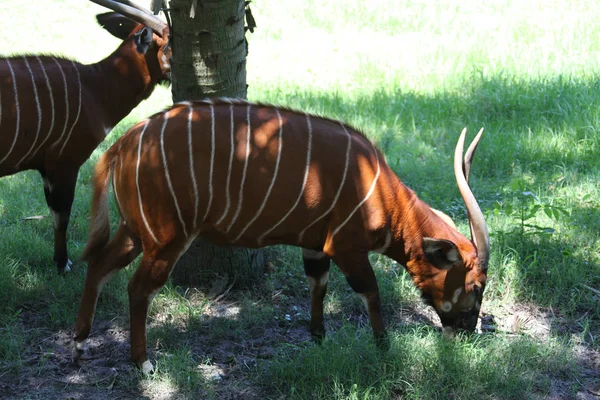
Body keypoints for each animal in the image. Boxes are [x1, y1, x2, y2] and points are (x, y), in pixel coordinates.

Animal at [0, 0, 171, 272]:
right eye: (169, 42)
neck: (94, 87)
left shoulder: (47, 168)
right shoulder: (64, 164)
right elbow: (61, 215)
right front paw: (63, 264)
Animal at [72, 98, 490, 374]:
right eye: (475, 286)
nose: (468, 330)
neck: (383, 194)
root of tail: (122, 144)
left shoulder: (315, 246)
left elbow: (317, 285)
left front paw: (319, 338)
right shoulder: (346, 246)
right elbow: (370, 291)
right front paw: (383, 346)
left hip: (134, 232)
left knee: (98, 266)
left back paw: (79, 345)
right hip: (166, 239)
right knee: (138, 288)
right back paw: (141, 362)